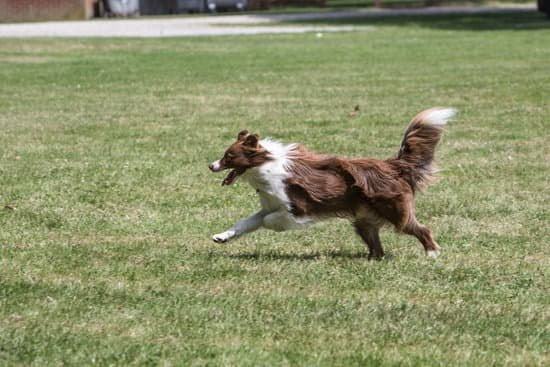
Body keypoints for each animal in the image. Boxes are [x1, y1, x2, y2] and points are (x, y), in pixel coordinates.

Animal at [209, 108, 454, 260]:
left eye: (229, 157)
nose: (211, 165)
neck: (265, 166)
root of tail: (393, 166)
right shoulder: (269, 204)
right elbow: (246, 223)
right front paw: (221, 237)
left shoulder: (298, 208)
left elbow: (269, 220)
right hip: (364, 220)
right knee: (376, 245)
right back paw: (371, 260)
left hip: (394, 211)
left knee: (421, 229)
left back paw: (432, 254)